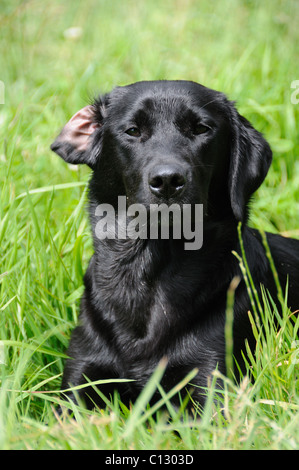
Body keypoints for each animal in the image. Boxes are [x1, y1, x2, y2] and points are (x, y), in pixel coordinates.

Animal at [51, 79, 299, 410]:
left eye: (201, 129)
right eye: (133, 130)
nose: (167, 180)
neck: (150, 272)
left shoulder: (210, 379)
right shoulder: (81, 375)